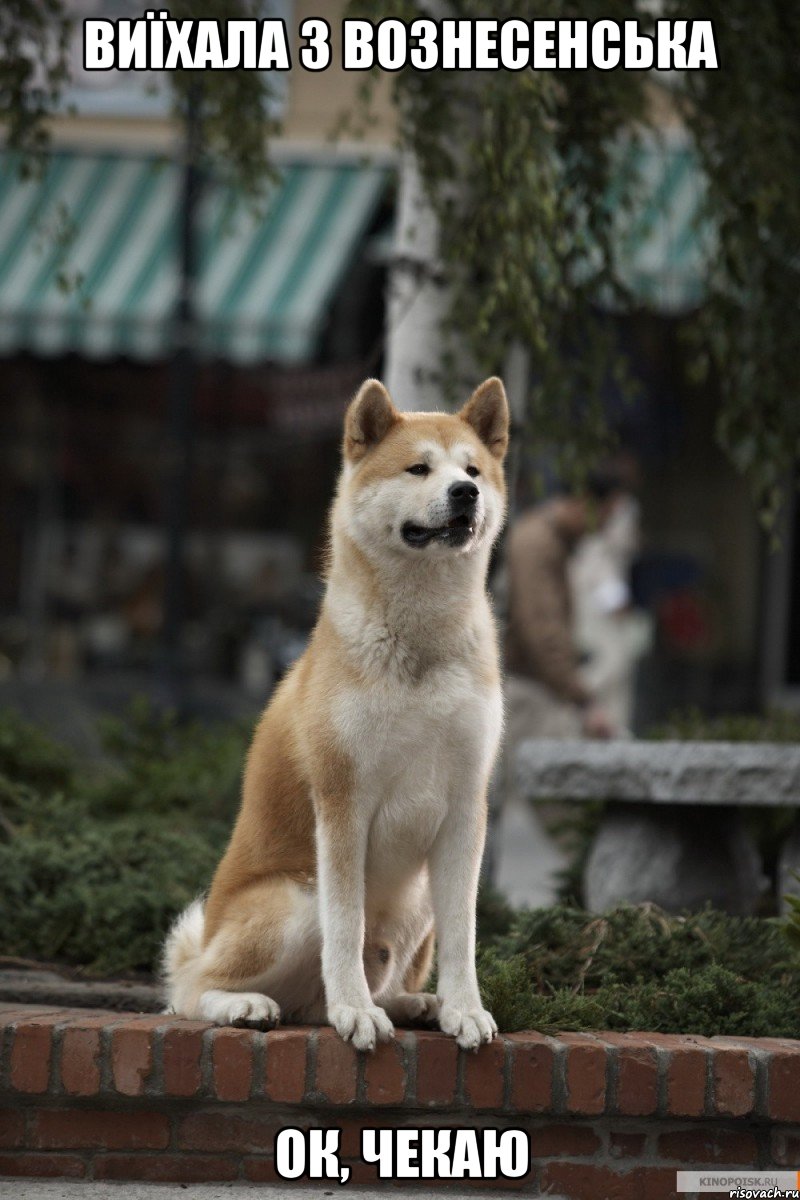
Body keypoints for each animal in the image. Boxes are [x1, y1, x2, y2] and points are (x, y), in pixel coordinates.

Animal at [164, 374, 506, 1051]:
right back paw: (251, 1004)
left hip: (416, 900)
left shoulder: (465, 806)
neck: (420, 644)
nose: (466, 493)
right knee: (189, 990)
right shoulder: (344, 801)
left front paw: (464, 1009)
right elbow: (345, 928)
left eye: (473, 469)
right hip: (296, 900)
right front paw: (355, 1011)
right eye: (419, 468)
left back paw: (413, 1003)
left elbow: (465, 934)